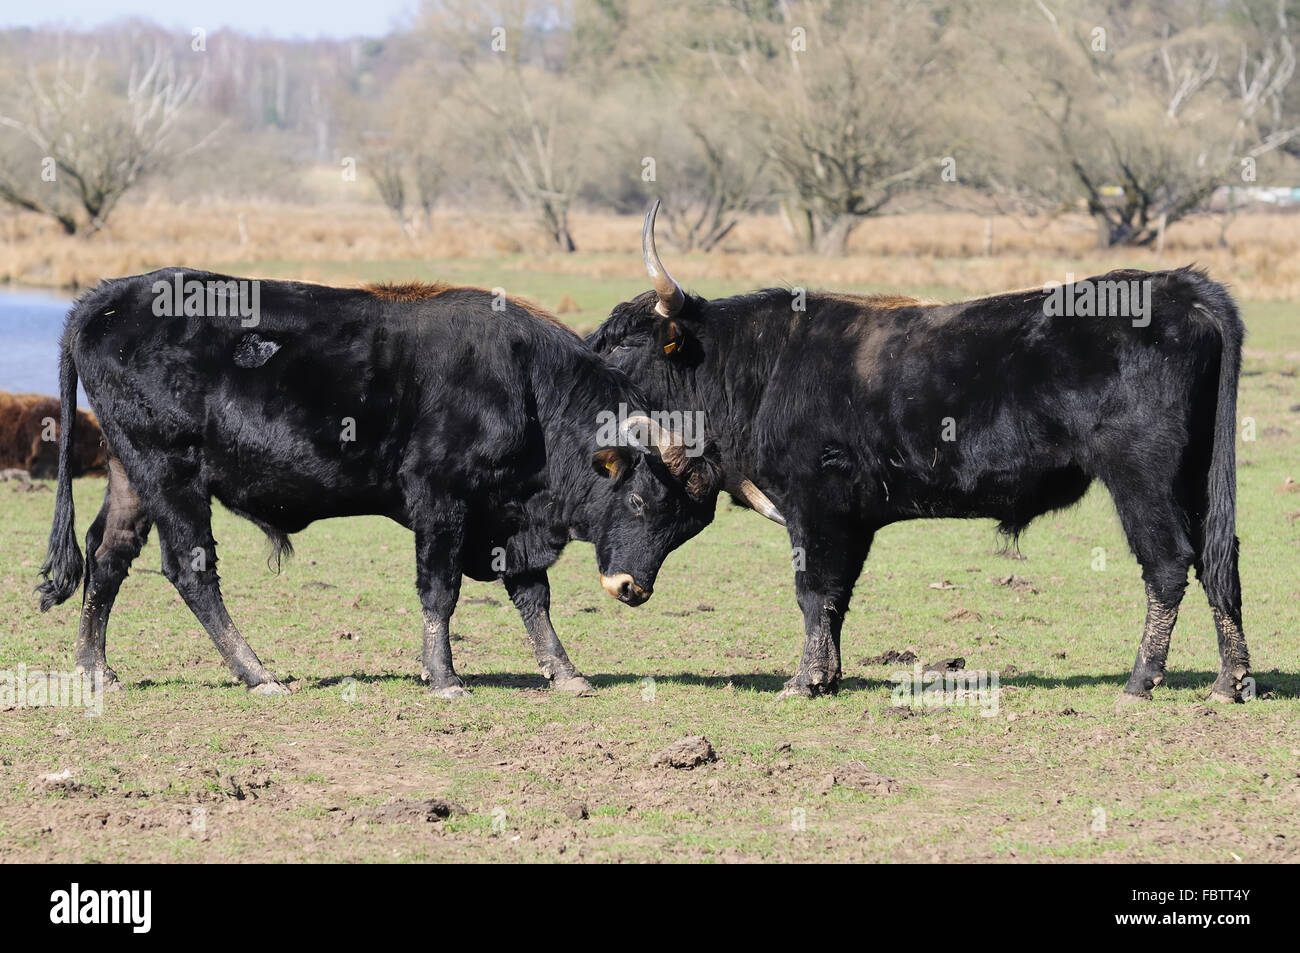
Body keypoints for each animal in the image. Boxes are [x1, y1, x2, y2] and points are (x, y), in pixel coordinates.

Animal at [38, 271, 722, 696]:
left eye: (685, 527)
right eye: (640, 500)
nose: (631, 588)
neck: (525, 384)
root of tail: (105, 299)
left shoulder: (507, 520)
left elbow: (533, 595)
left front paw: (565, 672)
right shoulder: (441, 501)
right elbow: (440, 590)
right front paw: (444, 678)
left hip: (132, 477)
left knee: (107, 557)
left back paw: (96, 668)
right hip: (171, 475)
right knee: (190, 569)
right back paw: (258, 672)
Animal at [595, 202, 1253, 707]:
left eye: (625, 345)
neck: (760, 368)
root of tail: (1176, 285)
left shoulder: (815, 506)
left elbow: (813, 590)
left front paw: (803, 681)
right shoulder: (851, 520)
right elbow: (836, 598)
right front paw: (828, 677)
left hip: (1141, 477)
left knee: (1168, 564)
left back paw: (1140, 681)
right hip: (1196, 479)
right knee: (1219, 561)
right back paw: (1231, 682)